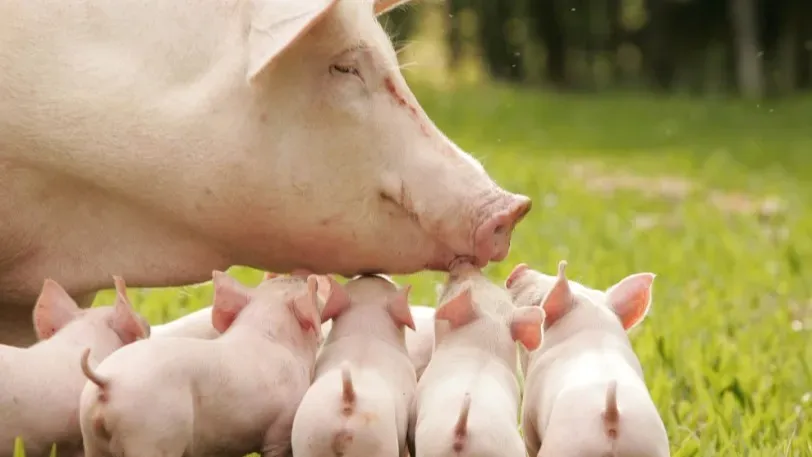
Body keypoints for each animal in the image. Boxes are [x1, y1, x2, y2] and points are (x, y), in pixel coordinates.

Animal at [508, 260, 672, 456]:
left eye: (536, 300)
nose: (521, 267)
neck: (593, 330)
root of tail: (611, 415)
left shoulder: (529, 410)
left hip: (565, 446)